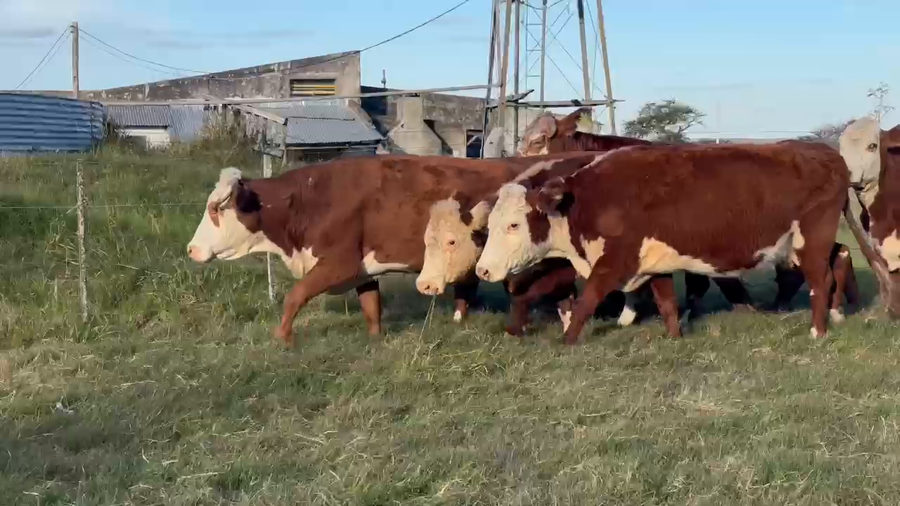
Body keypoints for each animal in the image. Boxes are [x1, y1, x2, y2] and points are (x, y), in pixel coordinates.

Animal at [186, 153, 604, 346]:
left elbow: (295, 295)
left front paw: (283, 338)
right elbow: (371, 305)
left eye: (215, 209)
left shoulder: (337, 264)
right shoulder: (361, 270)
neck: (309, 200)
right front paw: (375, 338)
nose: (191, 249)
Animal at [474, 141, 866, 344]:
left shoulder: (614, 262)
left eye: (513, 225)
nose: (483, 270)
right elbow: (666, 303)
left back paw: (818, 329)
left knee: (820, 279)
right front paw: (676, 336)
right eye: (490, 225)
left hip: (810, 238)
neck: (590, 200)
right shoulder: (653, 263)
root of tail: (823, 149)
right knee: (837, 258)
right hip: (801, 243)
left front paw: (567, 339)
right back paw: (834, 313)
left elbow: (585, 301)